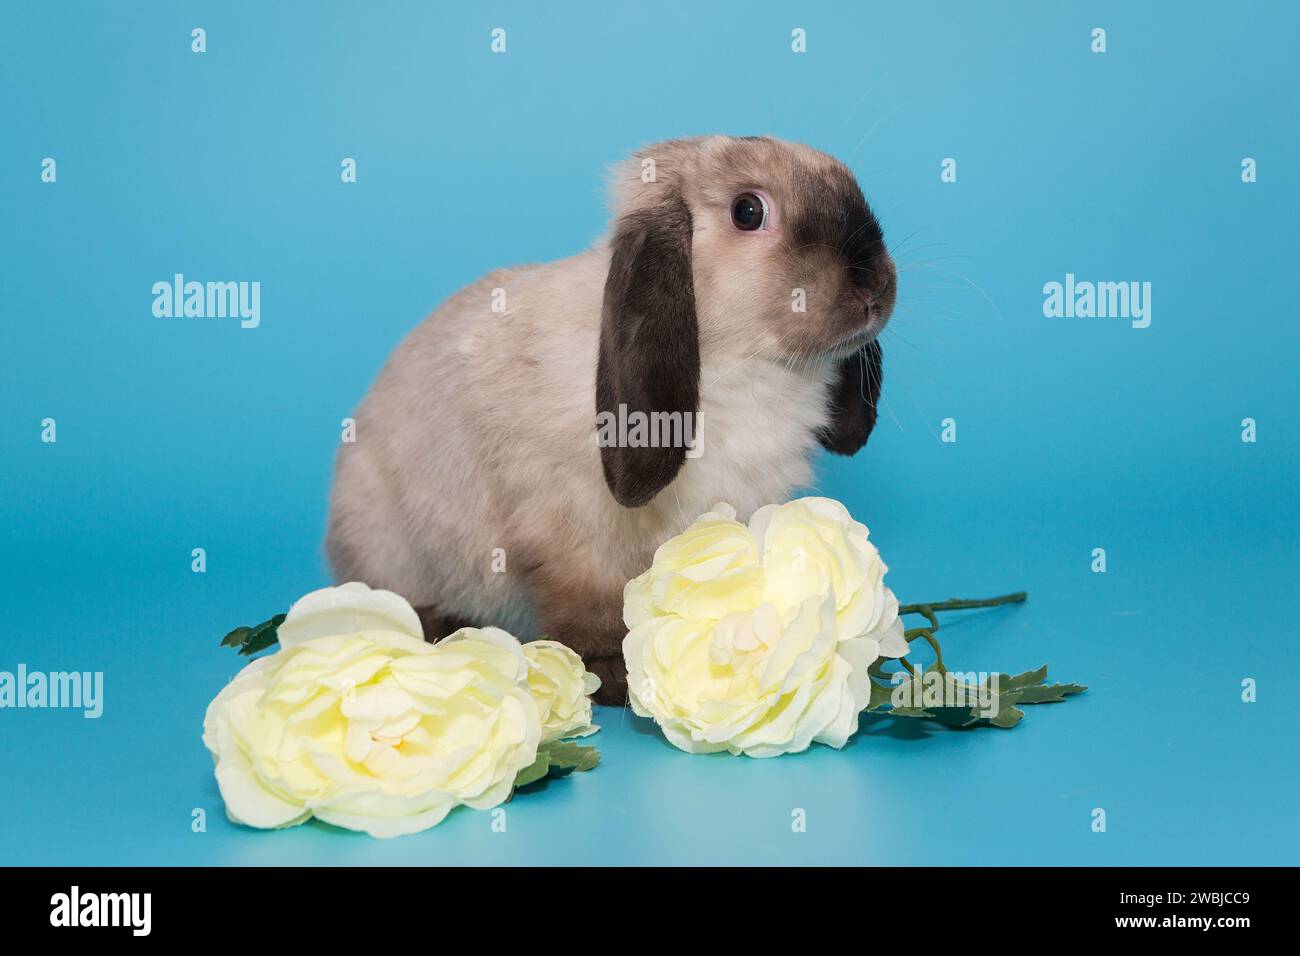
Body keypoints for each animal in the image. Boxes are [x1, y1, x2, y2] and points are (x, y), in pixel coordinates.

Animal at [323, 134, 894, 702]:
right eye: (748, 212)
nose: (874, 286)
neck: (744, 366)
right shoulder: (573, 541)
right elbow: (589, 612)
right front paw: (616, 676)